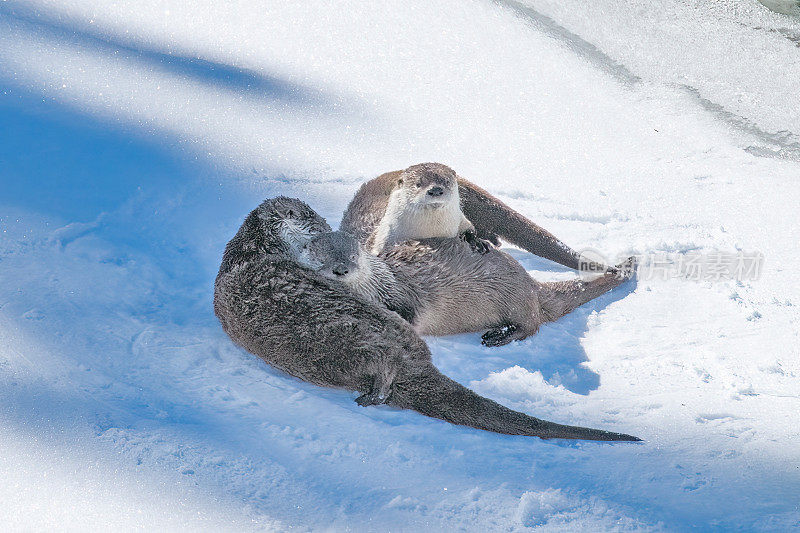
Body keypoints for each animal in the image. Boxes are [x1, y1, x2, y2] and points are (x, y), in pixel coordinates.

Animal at [296, 231, 636, 348]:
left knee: (532, 325)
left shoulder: (402, 292)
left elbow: (409, 314)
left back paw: (498, 336)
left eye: (354, 254)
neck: (379, 287)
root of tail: (531, 283)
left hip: (513, 295)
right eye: (320, 256)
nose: (341, 269)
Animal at [340, 161, 608, 270]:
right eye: (418, 184)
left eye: (446, 181)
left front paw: (476, 242)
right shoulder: (383, 237)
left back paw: (490, 240)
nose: (435, 189)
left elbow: (469, 229)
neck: (429, 231)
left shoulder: (461, 220)